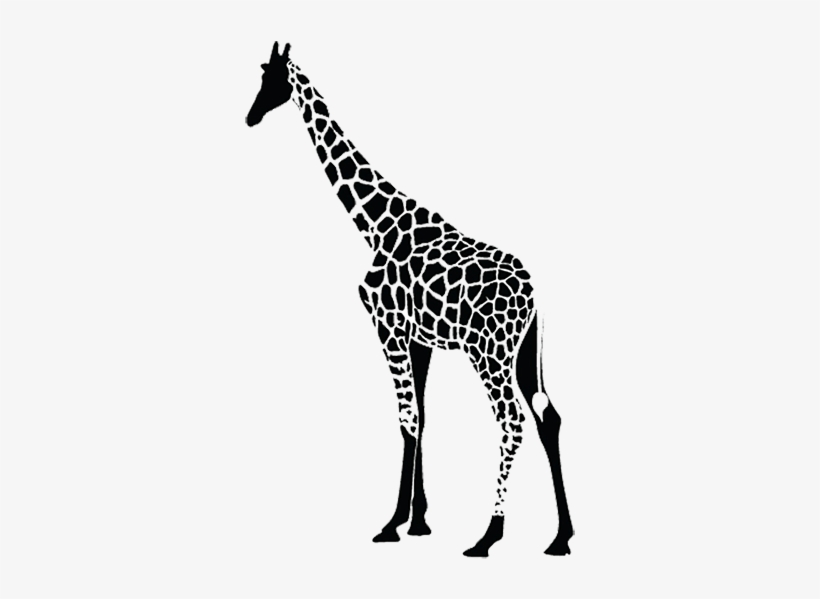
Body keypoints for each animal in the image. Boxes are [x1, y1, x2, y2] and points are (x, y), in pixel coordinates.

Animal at [246, 42, 574, 557]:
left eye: (271, 77)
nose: (250, 117)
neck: (376, 224)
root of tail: (533, 293)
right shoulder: (418, 340)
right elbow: (422, 417)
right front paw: (418, 521)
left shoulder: (388, 329)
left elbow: (407, 419)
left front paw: (391, 523)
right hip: (523, 354)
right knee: (548, 416)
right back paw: (561, 536)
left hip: (490, 355)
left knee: (512, 422)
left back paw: (489, 534)